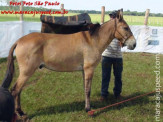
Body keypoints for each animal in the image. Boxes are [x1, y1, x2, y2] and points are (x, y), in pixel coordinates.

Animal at [1, 9, 136, 119]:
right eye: (125, 28)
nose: (134, 44)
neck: (93, 40)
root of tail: (19, 40)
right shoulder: (89, 69)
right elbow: (88, 90)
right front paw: (89, 110)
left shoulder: (84, 70)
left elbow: (85, 88)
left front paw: (86, 107)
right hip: (26, 72)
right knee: (15, 90)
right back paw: (19, 113)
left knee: (18, 90)